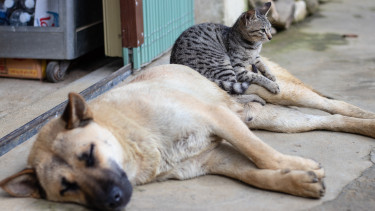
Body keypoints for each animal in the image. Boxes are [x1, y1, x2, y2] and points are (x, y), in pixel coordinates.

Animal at [0, 61, 375, 210]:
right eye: (67, 188)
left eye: (89, 155)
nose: (113, 201)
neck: (132, 136)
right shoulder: (215, 158)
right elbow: (257, 175)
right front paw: (297, 179)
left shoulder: (217, 119)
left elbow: (261, 154)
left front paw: (297, 166)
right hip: (278, 119)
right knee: (330, 119)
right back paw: (363, 124)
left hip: (284, 95)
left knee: (334, 105)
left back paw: (367, 118)